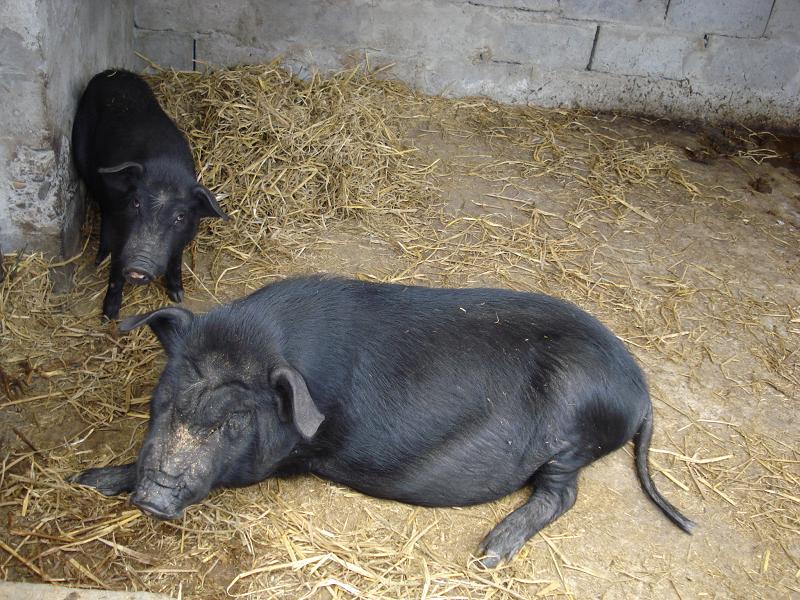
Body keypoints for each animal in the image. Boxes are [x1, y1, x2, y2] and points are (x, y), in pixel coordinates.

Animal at [70, 69, 227, 318]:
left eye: (180, 217)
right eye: (135, 203)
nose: (139, 266)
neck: (166, 171)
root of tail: (110, 73)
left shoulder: (184, 237)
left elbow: (175, 261)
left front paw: (177, 297)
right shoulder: (122, 234)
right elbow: (115, 272)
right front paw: (108, 316)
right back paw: (99, 259)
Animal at [76, 276, 700, 568]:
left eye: (233, 423)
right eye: (162, 400)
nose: (154, 499)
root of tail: (641, 392)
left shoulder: (284, 457)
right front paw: (85, 479)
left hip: (573, 427)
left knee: (563, 493)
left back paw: (490, 552)